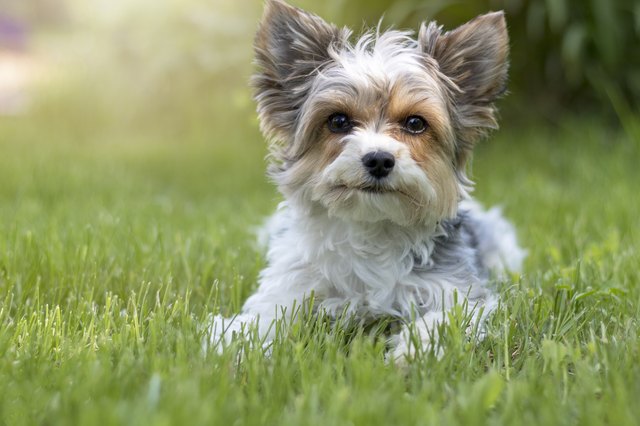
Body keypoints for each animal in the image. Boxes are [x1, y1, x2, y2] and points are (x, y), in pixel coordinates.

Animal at [210, 0, 524, 360]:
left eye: (415, 123)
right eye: (338, 121)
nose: (379, 159)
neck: (372, 228)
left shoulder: (458, 293)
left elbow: (443, 321)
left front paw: (411, 353)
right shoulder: (291, 286)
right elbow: (263, 318)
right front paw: (231, 345)